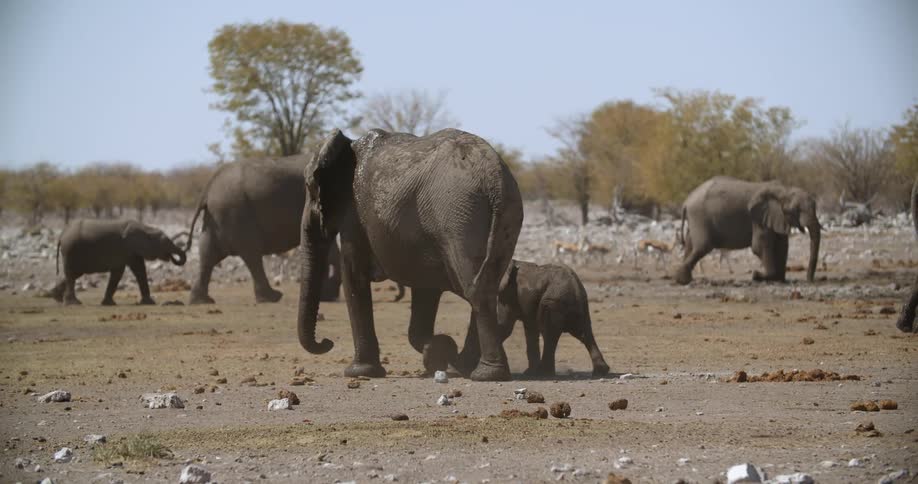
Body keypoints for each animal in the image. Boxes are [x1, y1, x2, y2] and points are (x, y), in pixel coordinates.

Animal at [50, 219, 186, 305]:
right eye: (165, 244)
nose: (172, 257)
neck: (146, 228)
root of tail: (62, 235)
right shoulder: (125, 248)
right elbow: (119, 272)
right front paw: (109, 303)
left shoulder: (132, 251)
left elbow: (139, 270)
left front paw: (148, 303)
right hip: (70, 250)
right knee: (71, 275)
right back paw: (73, 303)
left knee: (73, 274)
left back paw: (56, 298)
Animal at [185, 156, 341, 304]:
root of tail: (208, 189)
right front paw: (328, 296)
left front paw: (326, 296)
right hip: (235, 212)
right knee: (251, 253)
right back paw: (272, 297)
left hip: (218, 216)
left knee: (208, 254)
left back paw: (201, 301)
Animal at [297, 128, 523, 382]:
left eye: (311, 188)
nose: (327, 342)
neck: (349, 145)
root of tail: (494, 177)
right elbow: (425, 289)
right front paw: (439, 350)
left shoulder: (355, 214)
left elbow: (353, 276)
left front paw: (360, 372)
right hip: (501, 215)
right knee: (485, 283)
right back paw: (465, 366)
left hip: (457, 215)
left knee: (475, 288)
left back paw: (485, 374)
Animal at [675, 176, 821, 285]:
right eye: (796, 210)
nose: (810, 281)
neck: (784, 189)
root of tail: (686, 201)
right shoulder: (758, 219)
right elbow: (759, 246)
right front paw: (757, 275)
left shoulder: (777, 217)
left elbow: (782, 246)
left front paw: (779, 280)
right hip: (700, 217)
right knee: (703, 246)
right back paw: (683, 280)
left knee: (690, 244)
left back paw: (683, 279)